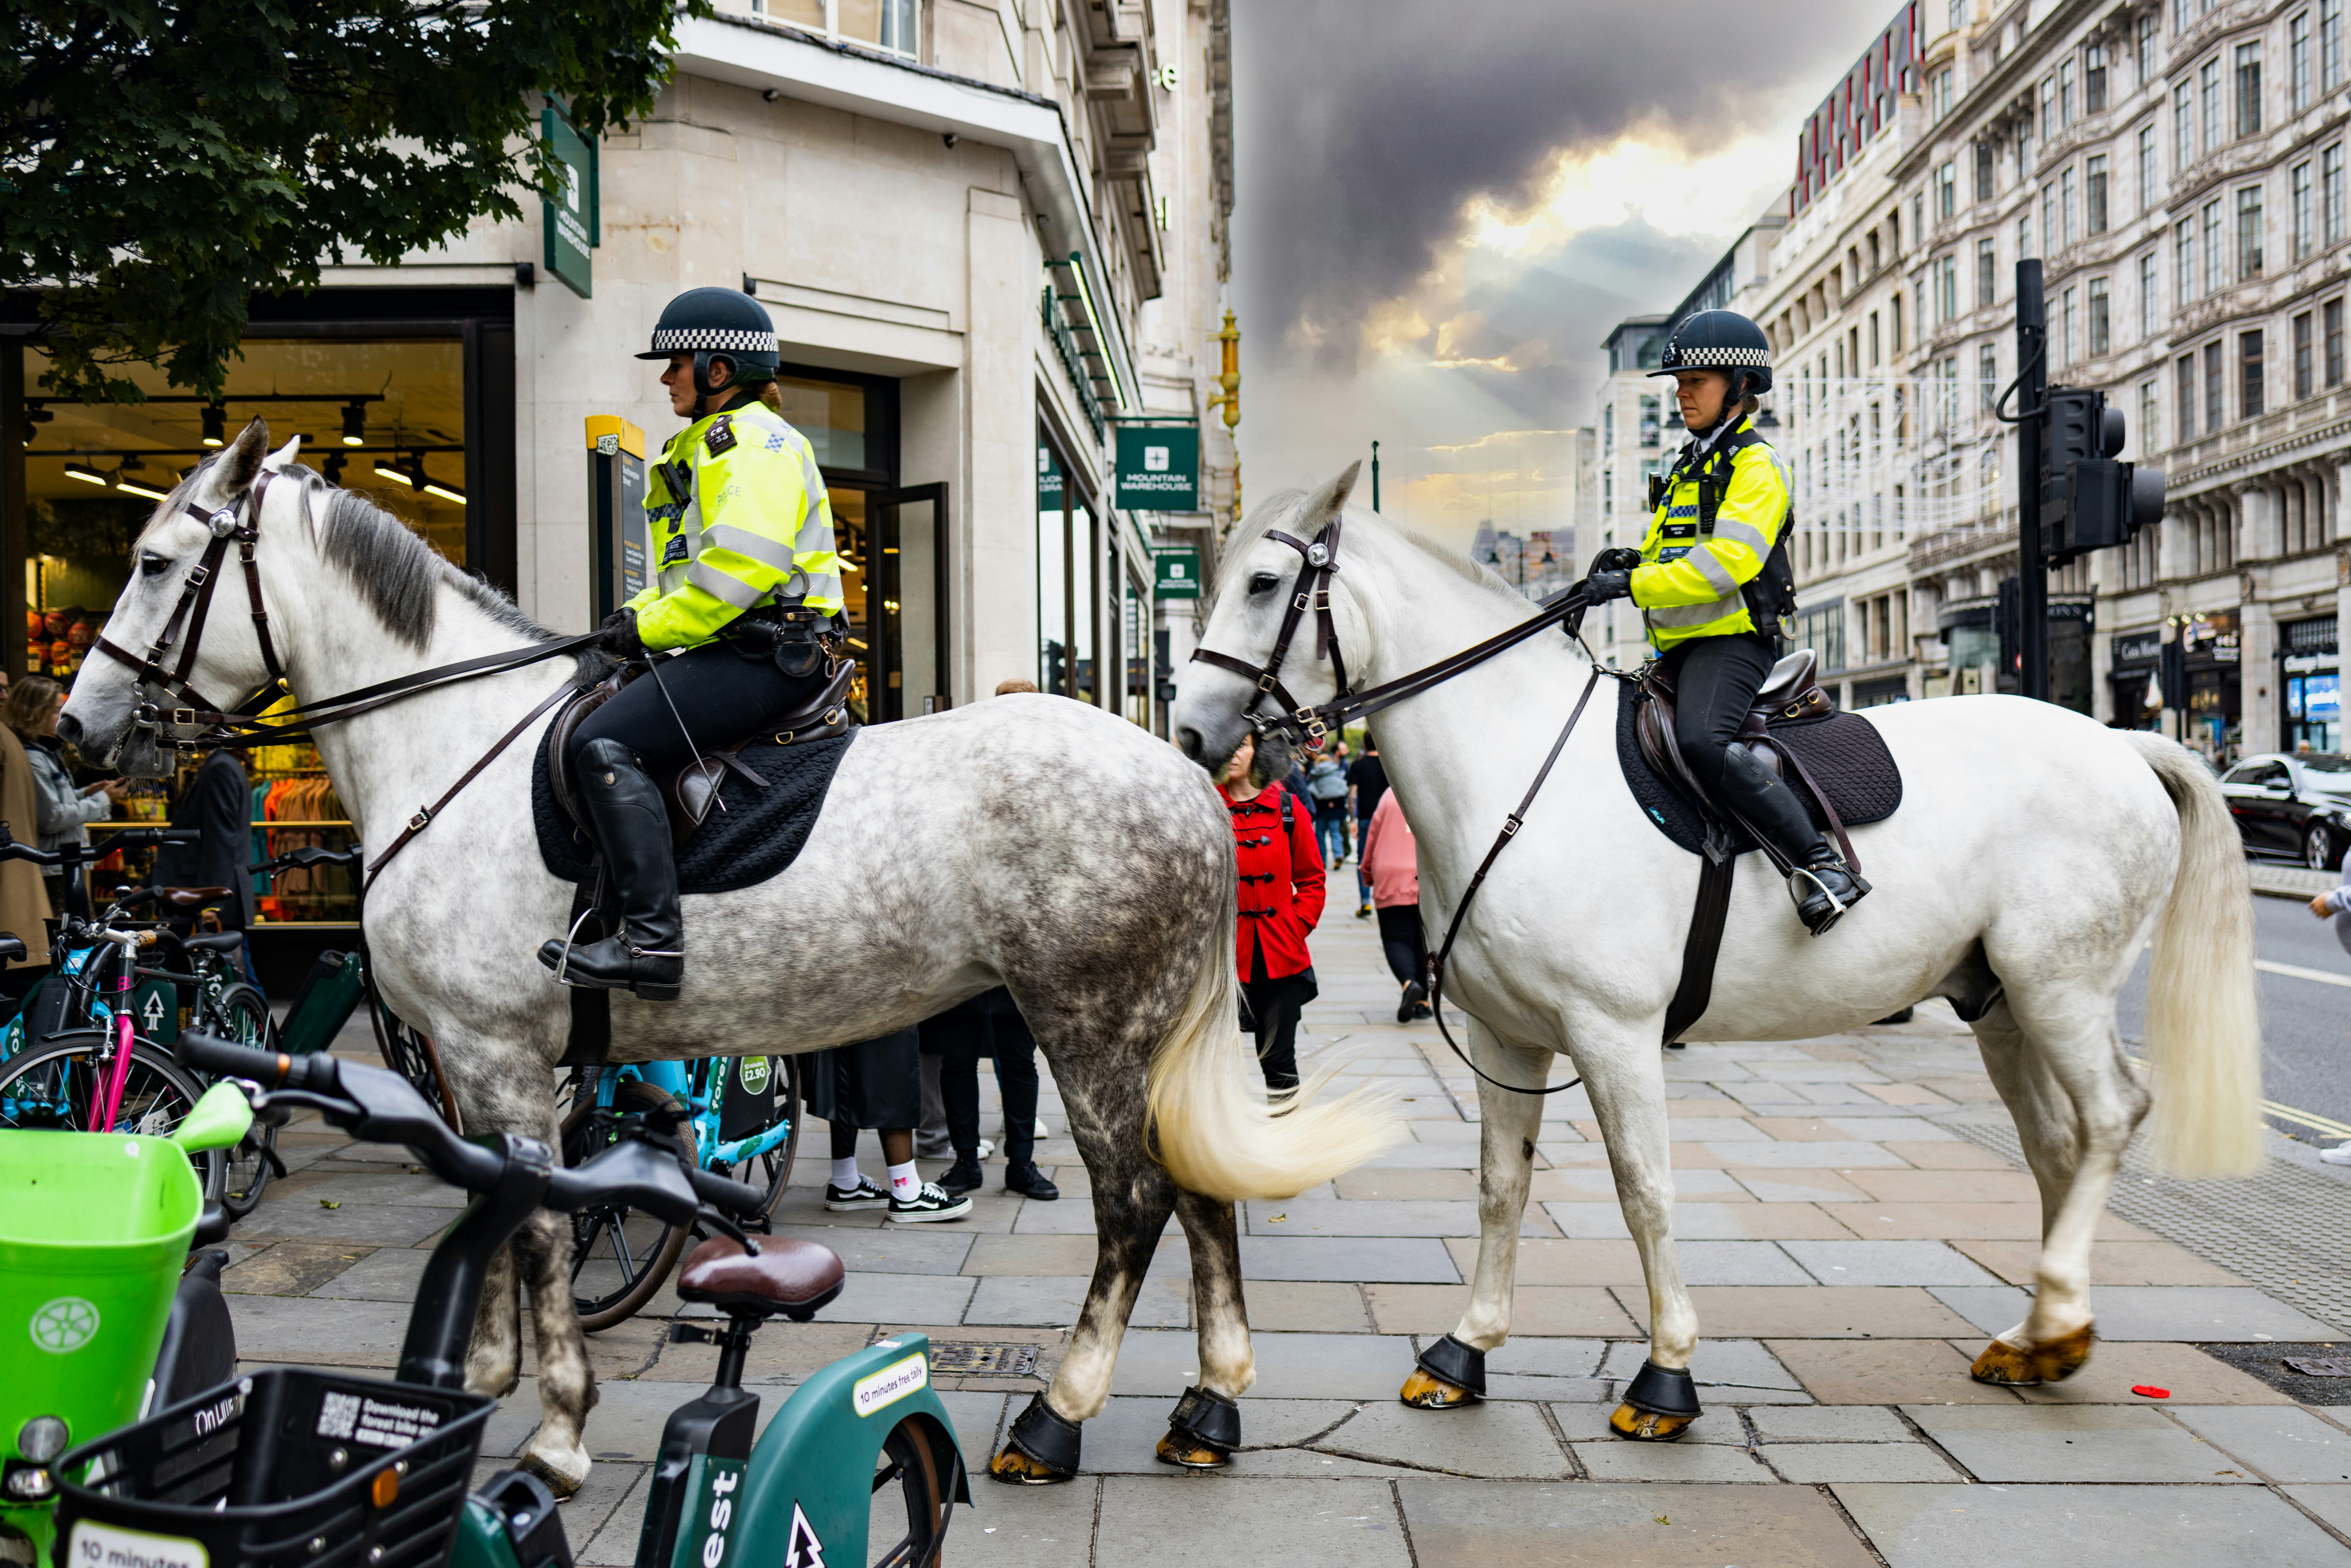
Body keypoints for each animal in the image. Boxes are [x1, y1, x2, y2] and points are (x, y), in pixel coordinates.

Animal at [61, 419, 1401, 1489]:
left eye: (157, 562)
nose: (78, 728)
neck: (452, 743)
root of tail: (1186, 777)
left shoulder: (498, 1052)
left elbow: (536, 1227)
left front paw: (556, 1433)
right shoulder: (476, 1063)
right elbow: (498, 1207)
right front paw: (474, 1388)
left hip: (1088, 1021)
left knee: (1133, 1201)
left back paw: (1056, 1416)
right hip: (1146, 1029)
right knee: (1200, 1191)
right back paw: (1208, 1407)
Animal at [1169, 464, 2263, 1436]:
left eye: (1262, 585)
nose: (1189, 733)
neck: (1517, 768)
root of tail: (2125, 744)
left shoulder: (1613, 1032)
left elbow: (1645, 1189)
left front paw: (1665, 1375)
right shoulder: (1505, 1036)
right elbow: (1499, 1187)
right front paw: (1464, 1350)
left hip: (2060, 985)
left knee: (2112, 1115)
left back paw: (2062, 1310)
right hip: (1999, 999)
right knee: (2056, 1144)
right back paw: (2042, 1334)